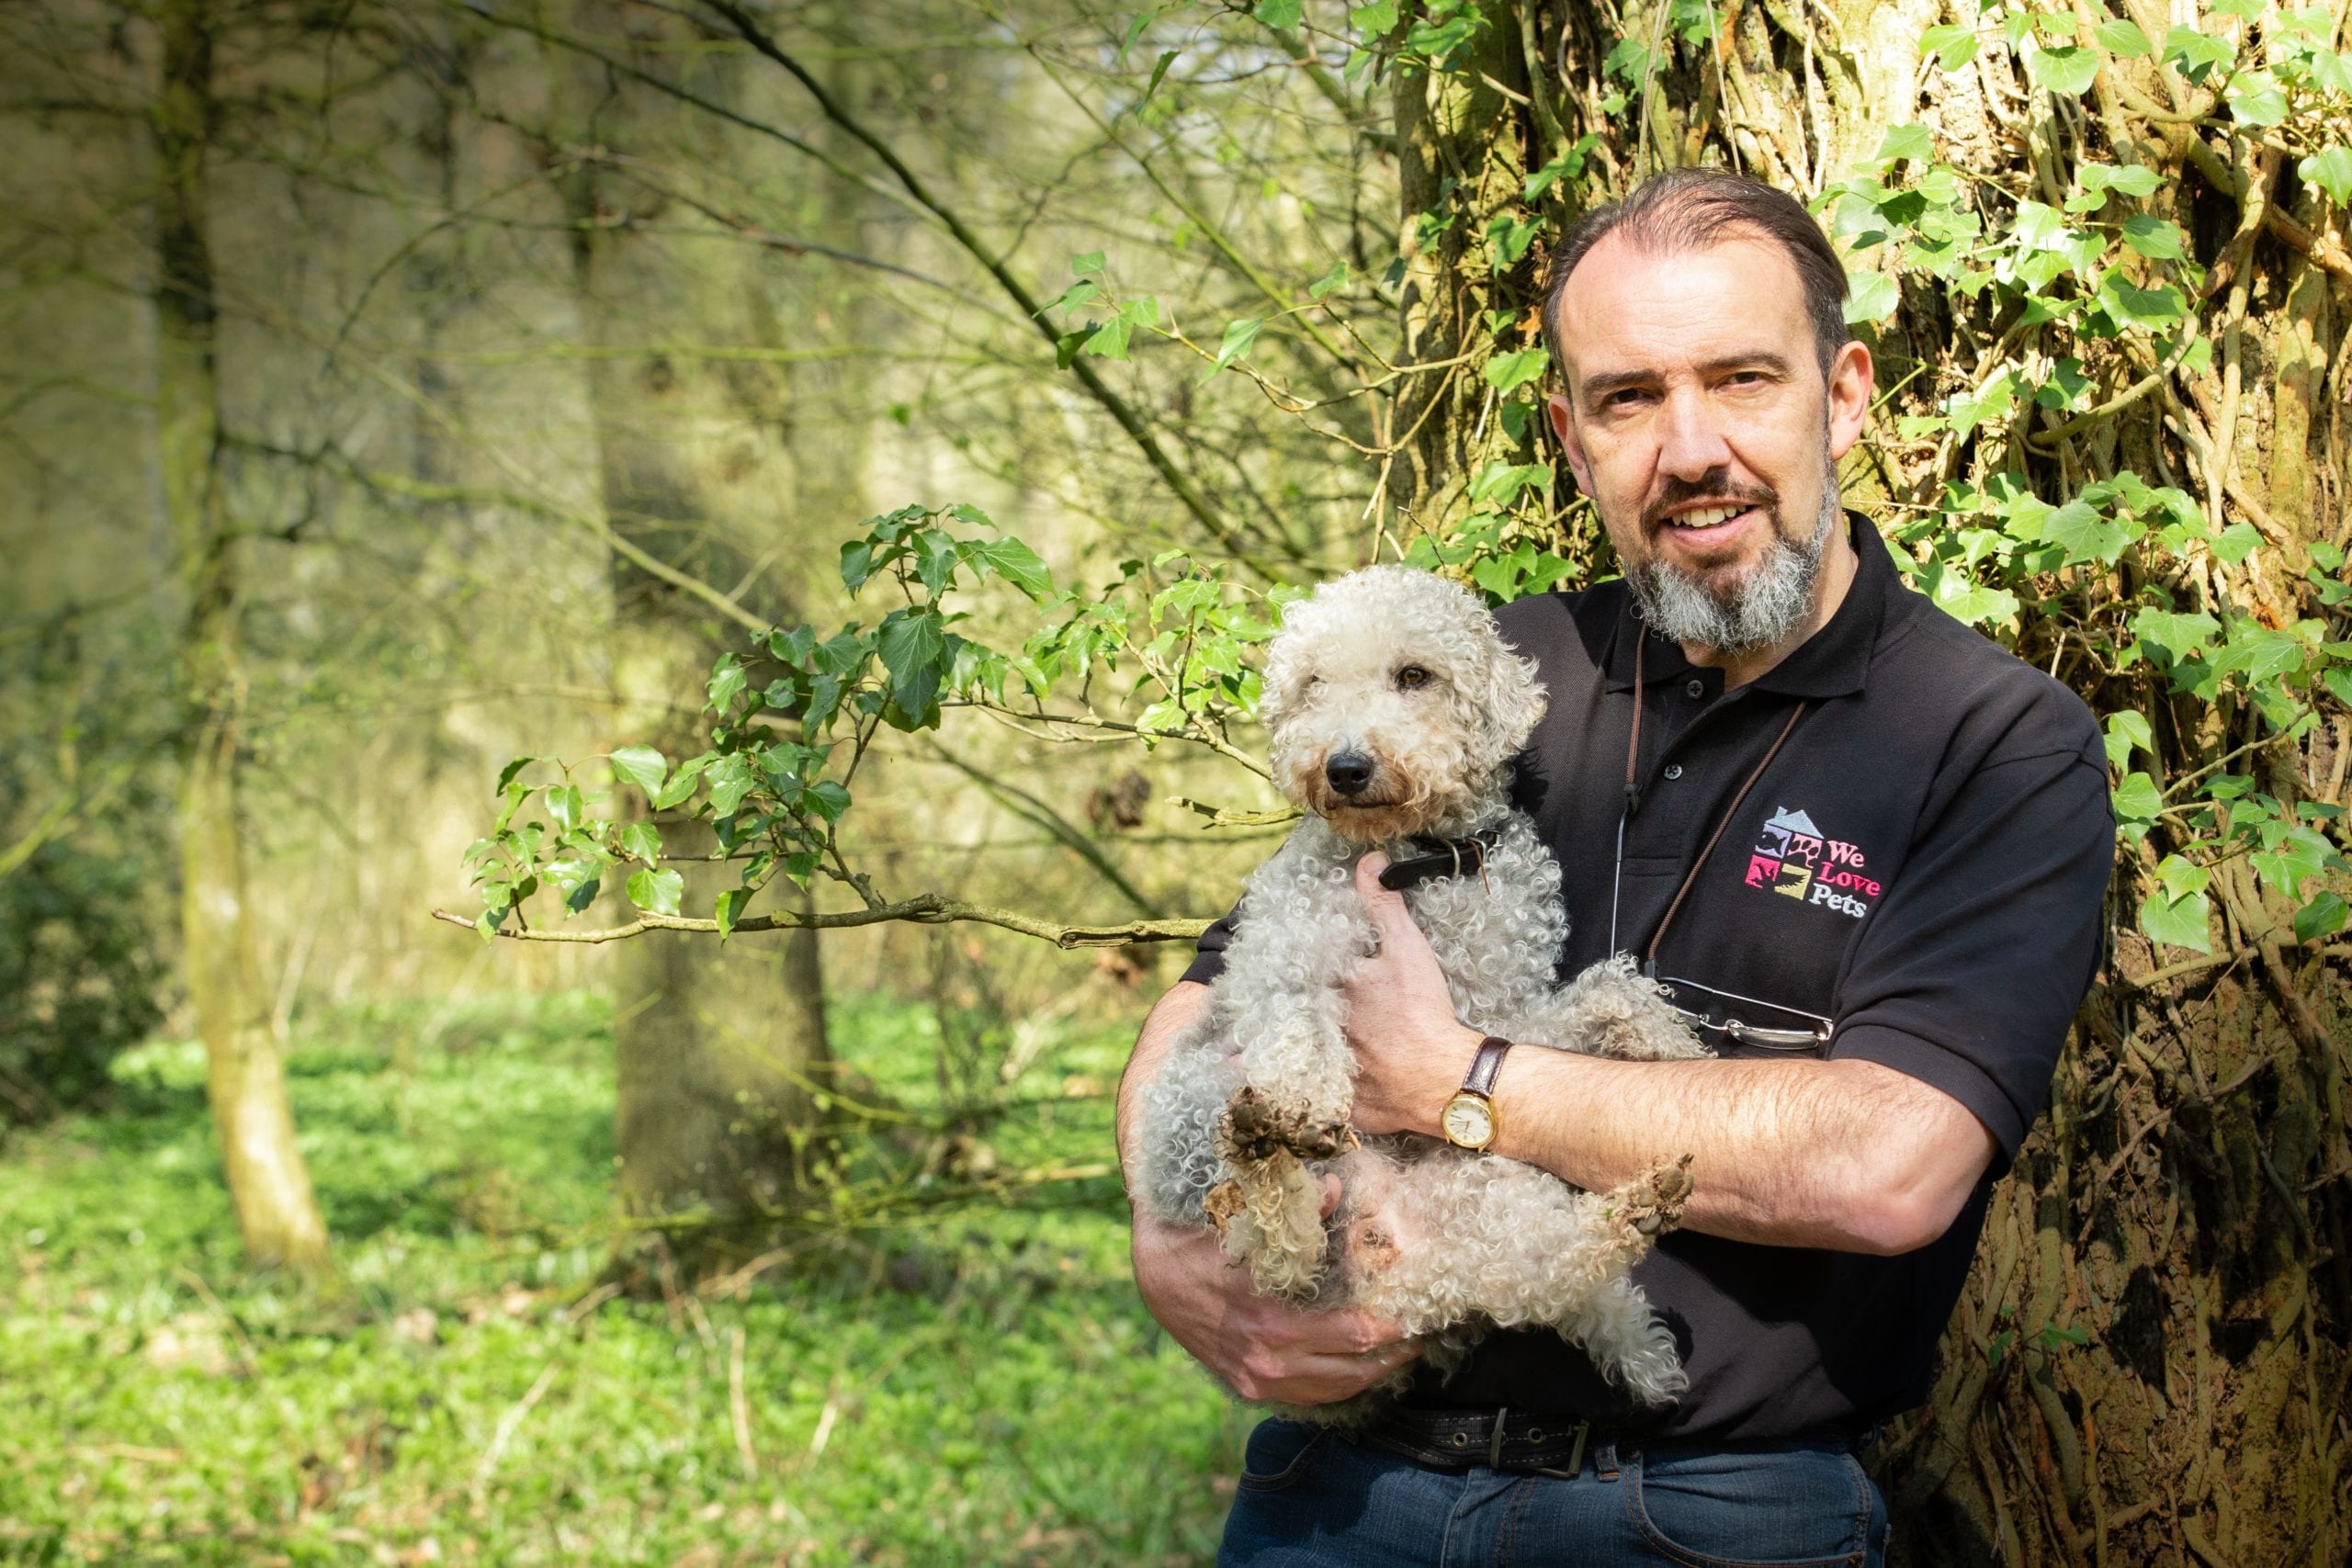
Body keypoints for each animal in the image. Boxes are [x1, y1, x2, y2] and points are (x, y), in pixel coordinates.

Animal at [1138, 564, 1712, 1419]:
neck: (1424, 862)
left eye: (1414, 675)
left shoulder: (1501, 1017)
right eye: (1313, 684)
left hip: (1481, 1202)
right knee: (1274, 1245)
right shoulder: (1281, 950)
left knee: (1533, 1275)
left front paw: (1667, 1036)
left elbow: (1603, 992)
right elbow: (1298, 1022)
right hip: (1195, 1106)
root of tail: (1385, 1266)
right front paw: (1305, 1102)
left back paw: (1637, 1238)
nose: (1343, 765)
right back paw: (1266, 1150)